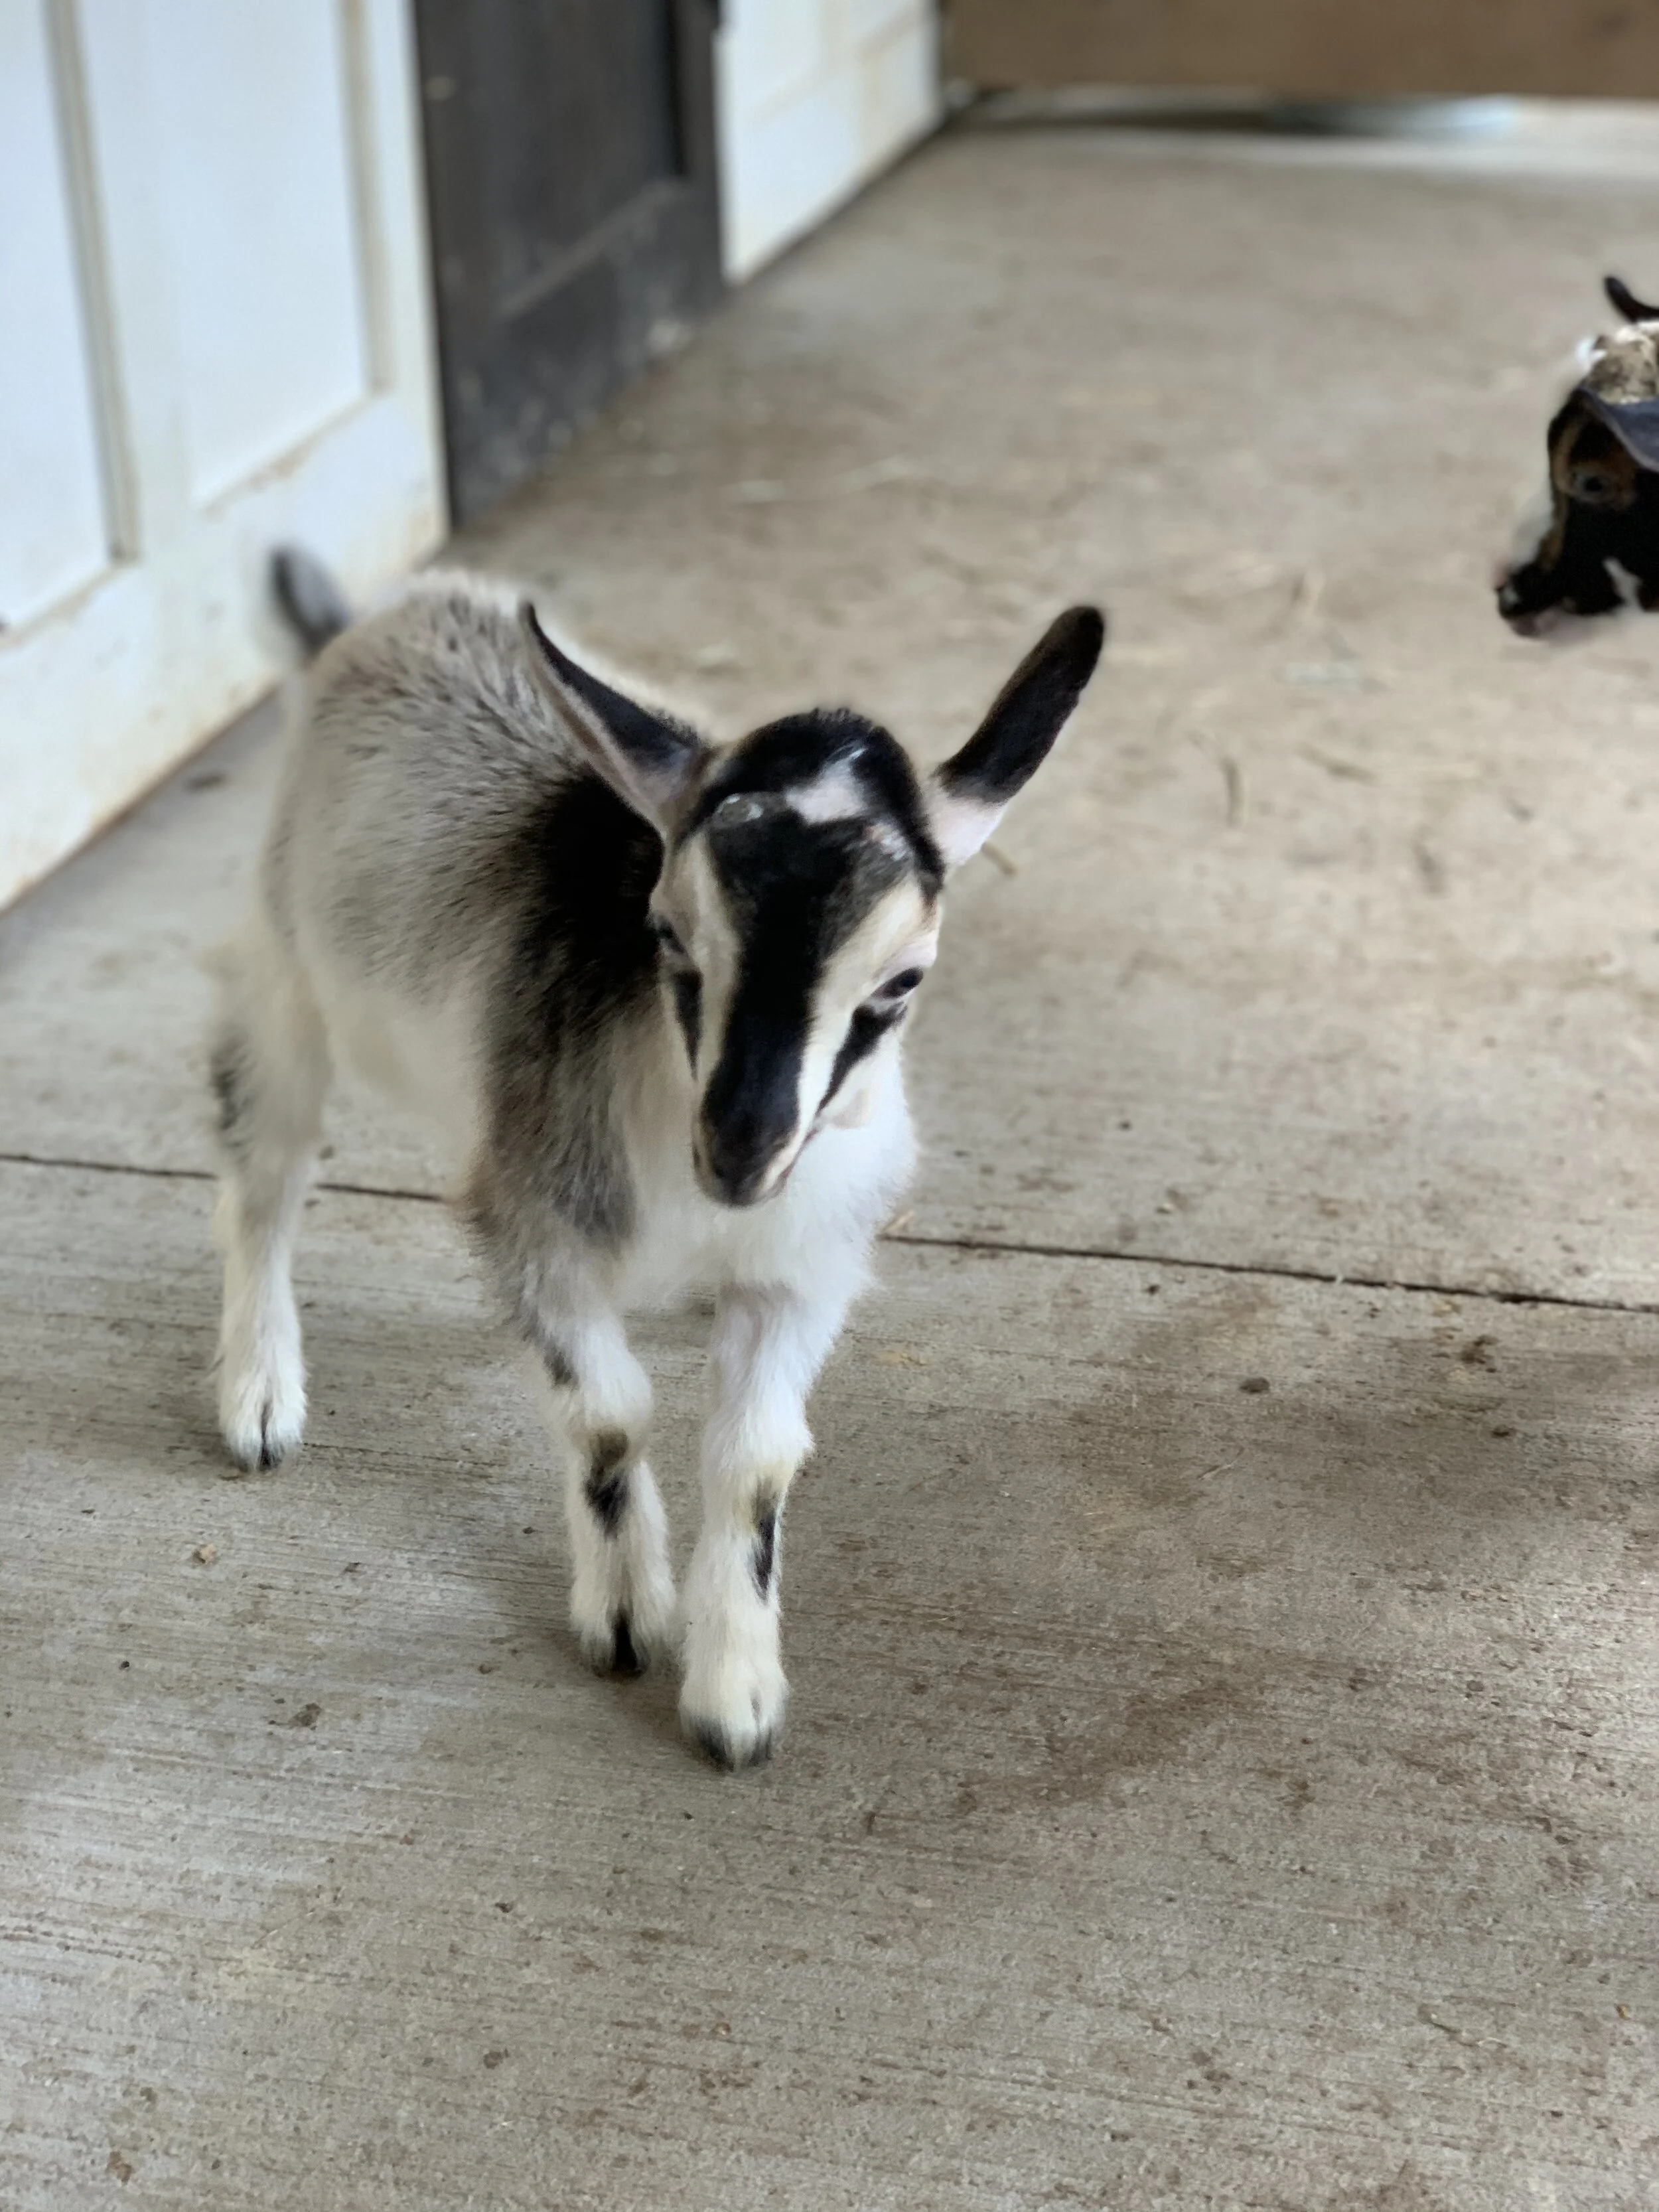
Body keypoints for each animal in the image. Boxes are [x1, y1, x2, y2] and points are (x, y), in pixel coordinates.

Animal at [211, 553, 1105, 1767]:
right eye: (669, 934)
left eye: (902, 981)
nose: (740, 1150)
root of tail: (381, 612)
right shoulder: (541, 1223)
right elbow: (607, 1413)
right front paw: (630, 1615)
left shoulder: (806, 1270)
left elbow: (757, 1457)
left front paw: (737, 1693)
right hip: (282, 971)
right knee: (265, 1169)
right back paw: (259, 1394)